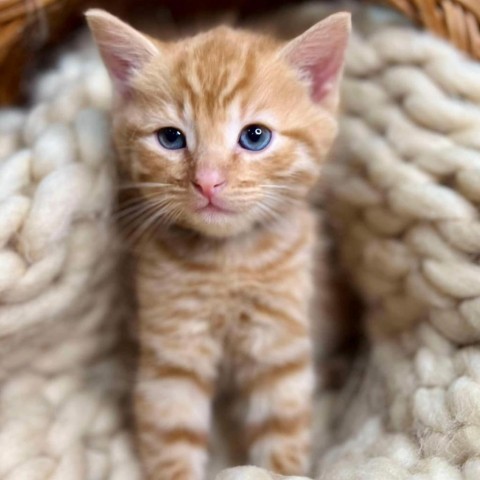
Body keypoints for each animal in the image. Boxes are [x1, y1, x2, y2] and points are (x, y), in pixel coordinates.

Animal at [87, 8, 348, 480]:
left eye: (255, 136)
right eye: (171, 138)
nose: (207, 181)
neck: (229, 262)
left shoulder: (279, 342)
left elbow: (283, 430)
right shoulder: (173, 349)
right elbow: (171, 432)